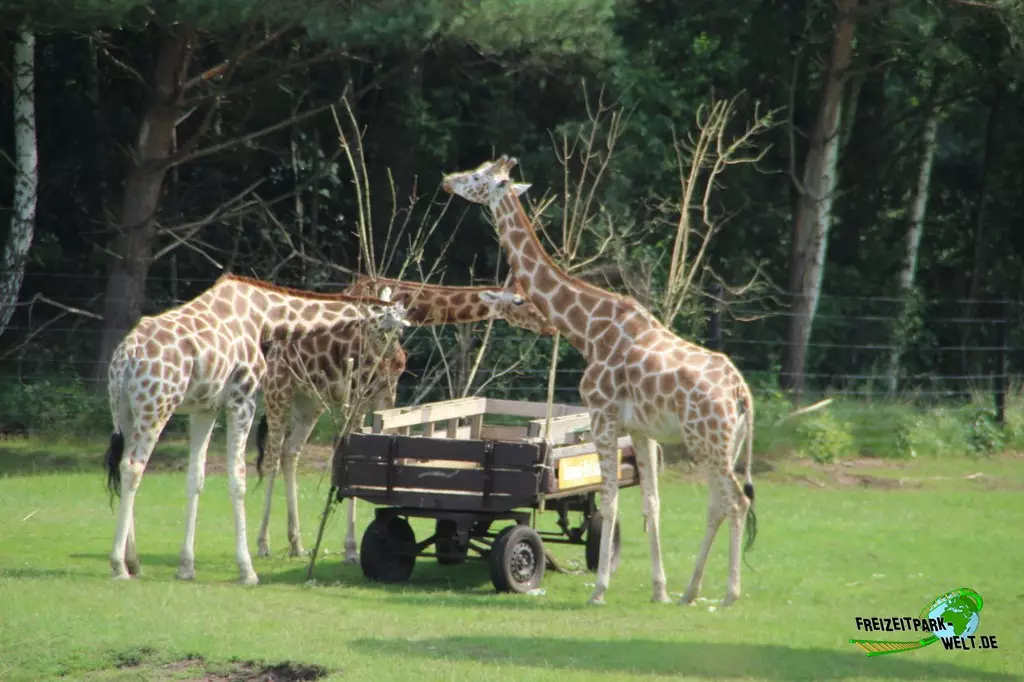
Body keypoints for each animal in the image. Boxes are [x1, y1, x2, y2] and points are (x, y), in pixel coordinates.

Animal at [102, 273, 409, 585]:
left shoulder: (205, 408)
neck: (265, 315)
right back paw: (119, 565)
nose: (398, 364)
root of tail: (126, 356)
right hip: (157, 405)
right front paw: (247, 569)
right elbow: (239, 480)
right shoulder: (243, 398)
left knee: (125, 466)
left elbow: (195, 479)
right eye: (392, 332)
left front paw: (186, 566)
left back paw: (133, 561)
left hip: (125, 411)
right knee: (133, 467)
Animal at [253, 274, 557, 562]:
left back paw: (297, 545)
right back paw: (263, 544)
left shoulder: (388, 390)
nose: (551, 326)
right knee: (271, 457)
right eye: (519, 301)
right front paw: (351, 548)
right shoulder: (359, 389)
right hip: (279, 391)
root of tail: (272, 348)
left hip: (310, 401)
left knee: (290, 452)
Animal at [441, 156, 757, 606]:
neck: (587, 329)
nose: (448, 181)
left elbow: (608, 502)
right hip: (723, 444)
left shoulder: (602, 415)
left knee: (735, 501)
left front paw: (599, 589)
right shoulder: (641, 430)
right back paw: (689, 592)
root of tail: (740, 393)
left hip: (707, 439)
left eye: (479, 177)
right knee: (719, 502)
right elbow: (651, 503)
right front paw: (660, 590)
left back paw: (729, 594)